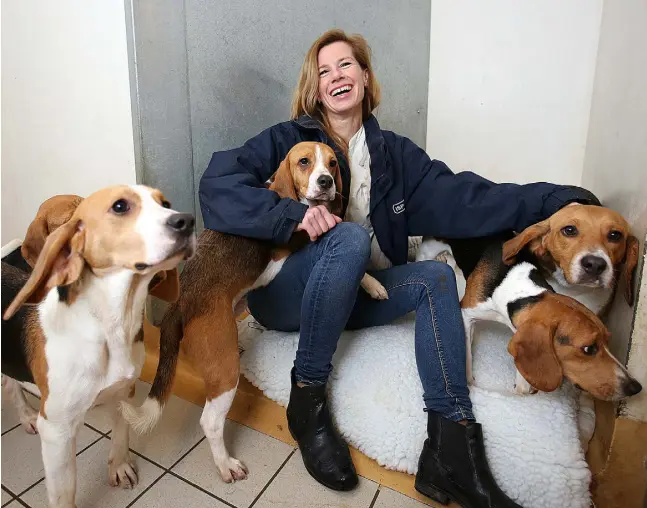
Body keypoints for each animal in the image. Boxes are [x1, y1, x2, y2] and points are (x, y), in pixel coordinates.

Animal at [1, 187, 196, 508]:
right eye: (120, 206)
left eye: (165, 203)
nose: (188, 221)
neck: (110, 326)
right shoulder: (57, 433)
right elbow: (64, 493)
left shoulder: (123, 392)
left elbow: (121, 435)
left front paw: (119, 467)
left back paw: (25, 415)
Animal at [120, 141, 384, 482]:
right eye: (304, 162)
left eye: (332, 163)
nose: (326, 182)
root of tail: (180, 303)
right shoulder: (305, 235)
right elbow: (342, 231)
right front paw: (374, 283)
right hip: (224, 369)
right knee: (210, 421)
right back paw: (225, 464)